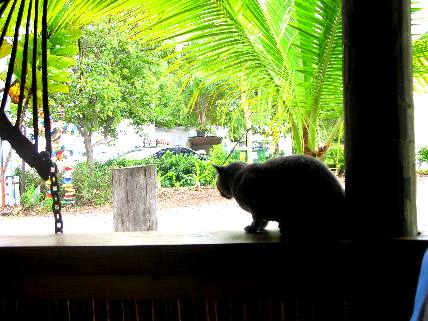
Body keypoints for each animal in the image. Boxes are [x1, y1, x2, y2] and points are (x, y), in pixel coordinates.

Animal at [214, 155, 348, 240]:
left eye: (217, 183)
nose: (219, 192)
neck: (236, 178)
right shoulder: (259, 209)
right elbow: (263, 220)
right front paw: (261, 228)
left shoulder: (256, 205)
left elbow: (256, 219)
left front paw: (252, 228)